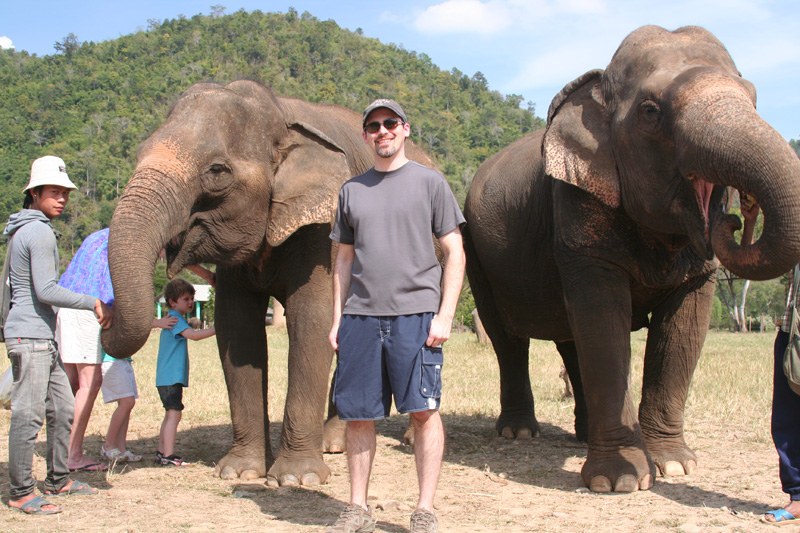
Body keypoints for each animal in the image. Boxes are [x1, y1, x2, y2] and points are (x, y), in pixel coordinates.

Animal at [103, 78, 434, 486]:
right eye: (139, 152)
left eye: (217, 171)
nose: (104, 314)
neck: (279, 112)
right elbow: (237, 329)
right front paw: (240, 472)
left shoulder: (323, 228)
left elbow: (312, 320)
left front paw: (295, 479)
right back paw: (334, 444)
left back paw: (398, 440)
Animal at [466, 23, 800, 490]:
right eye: (650, 111)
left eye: (753, 98)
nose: (735, 219)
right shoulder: (577, 202)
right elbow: (603, 321)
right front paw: (619, 481)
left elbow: (681, 332)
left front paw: (673, 466)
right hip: (477, 253)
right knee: (508, 338)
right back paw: (519, 432)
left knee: (570, 339)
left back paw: (582, 435)